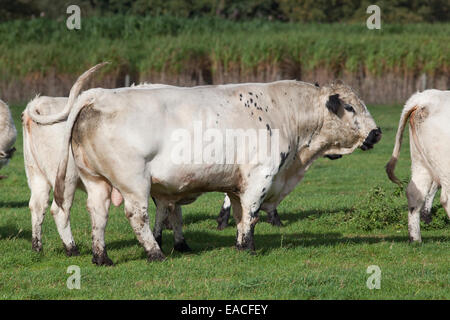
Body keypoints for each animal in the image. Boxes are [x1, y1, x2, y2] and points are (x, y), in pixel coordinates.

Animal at [47, 63, 380, 264]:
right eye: (350, 107)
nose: (376, 133)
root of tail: (99, 94)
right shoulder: (261, 175)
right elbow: (252, 214)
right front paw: (247, 248)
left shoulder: (237, 184)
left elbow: (240, 214)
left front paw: (240, 243)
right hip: (134, 181)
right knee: (136, 216)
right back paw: (155, 253)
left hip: (96, 181)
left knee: (98, 215)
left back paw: (101, 257)